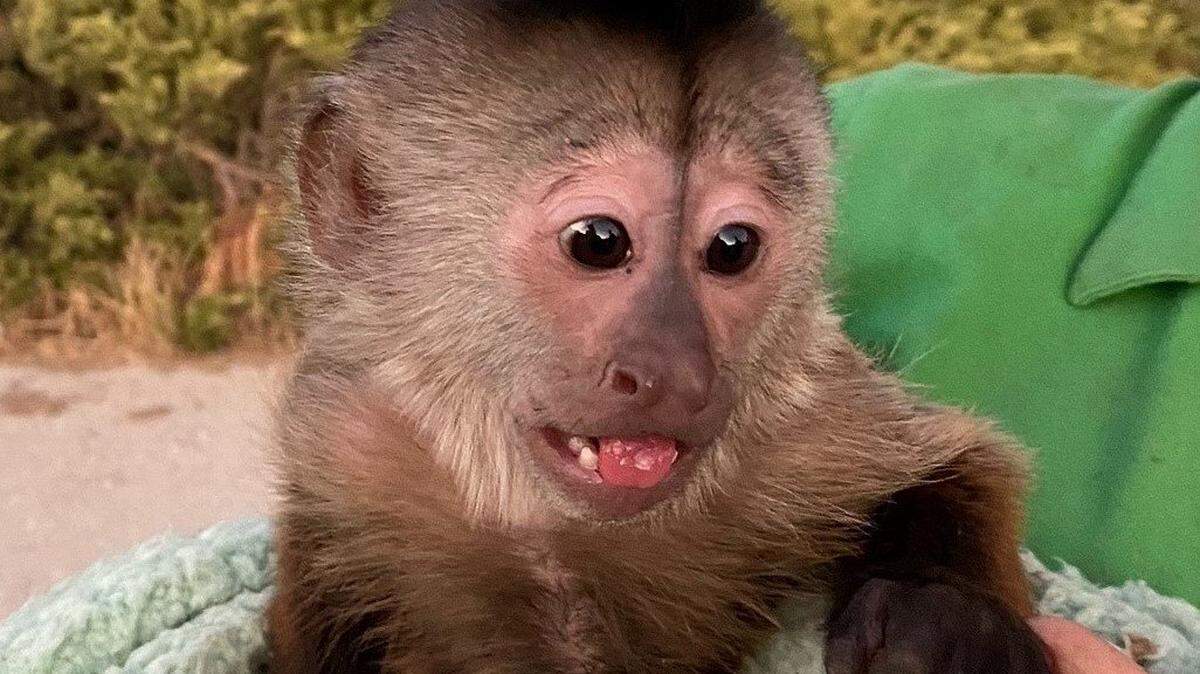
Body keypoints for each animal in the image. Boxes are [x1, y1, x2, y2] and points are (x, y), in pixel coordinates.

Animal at [270, 1, 1053, 672]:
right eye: (598, 241)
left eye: (732, 248)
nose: (677, 371)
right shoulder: (348, 440)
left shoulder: (810, 424)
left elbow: (964, 460)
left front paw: (947, 613)